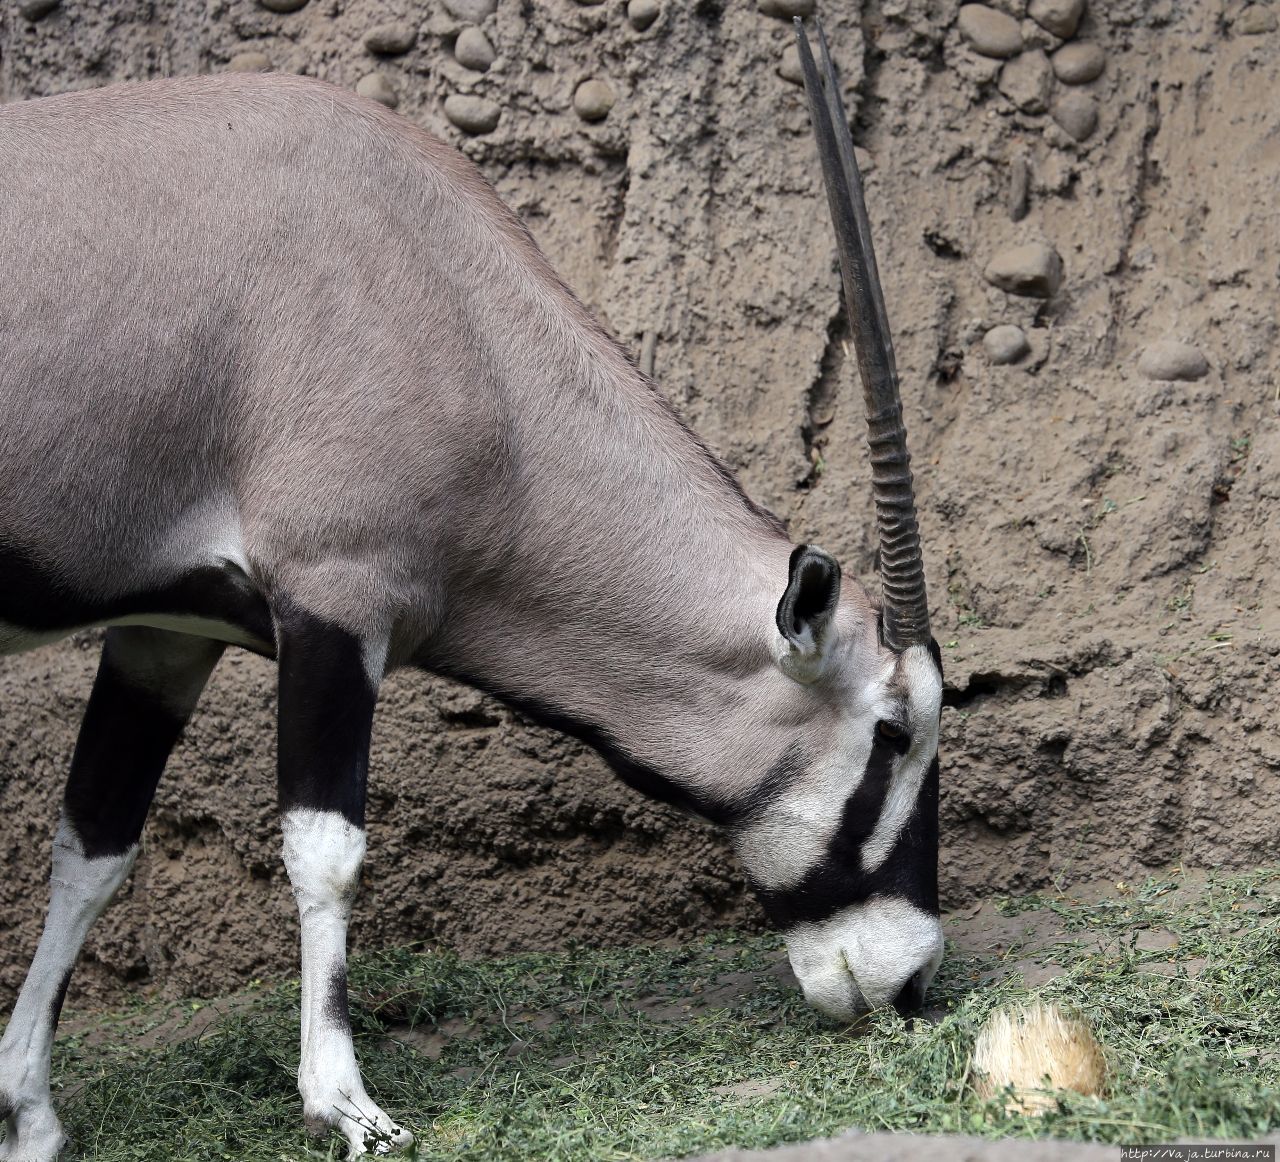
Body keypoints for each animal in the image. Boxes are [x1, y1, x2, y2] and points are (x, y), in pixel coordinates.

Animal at [0, 20, 942, 1162]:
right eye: (895, 731)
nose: (912, 981)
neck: (454, 310)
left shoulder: (165, 636)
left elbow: (92, 846)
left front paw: (28, 1110)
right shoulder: (336, 600)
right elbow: (328, 851)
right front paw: (345, 1103)